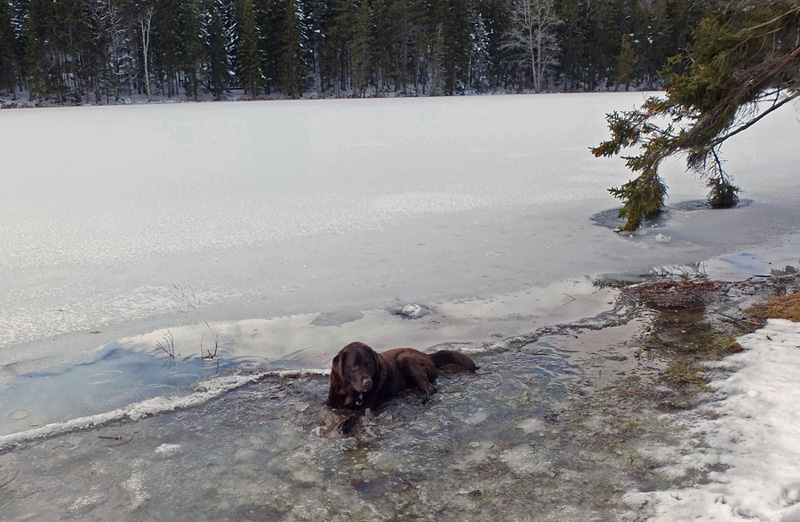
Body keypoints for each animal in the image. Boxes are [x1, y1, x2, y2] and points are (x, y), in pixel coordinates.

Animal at [326, 340, 478, 428]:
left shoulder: (367, 407)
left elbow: (355, 415)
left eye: (368, 364)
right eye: (354, 366)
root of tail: (428, 355)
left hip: (405, 358)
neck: (349, 392)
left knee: (430, 388)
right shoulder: (330, 403)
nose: (368, 382)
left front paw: (345, 425)